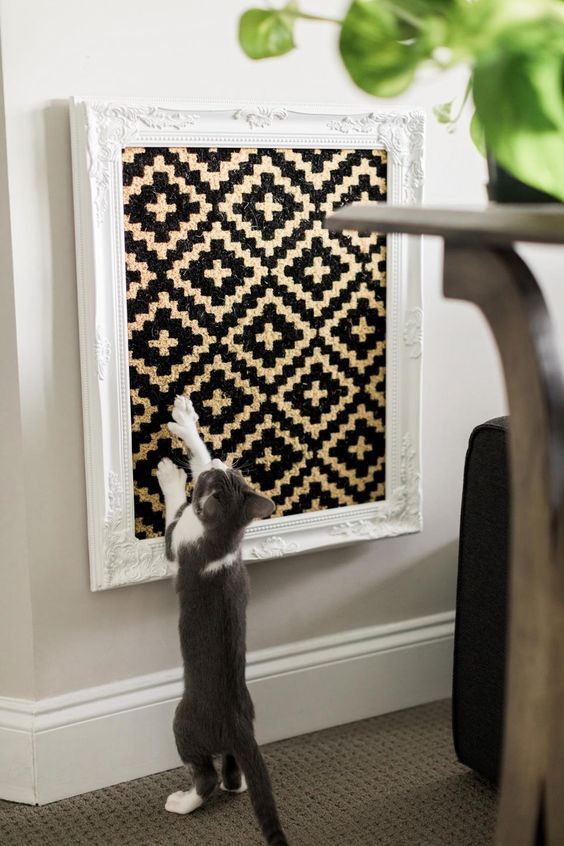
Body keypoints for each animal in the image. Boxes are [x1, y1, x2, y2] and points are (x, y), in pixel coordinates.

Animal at [158, 398, 290, 846]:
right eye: (229, 473)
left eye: (211, 481)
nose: (221, 459)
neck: (225, 537)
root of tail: (238, 724)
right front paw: (191, 428)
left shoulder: (180, 539)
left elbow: (173, 517)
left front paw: (171, 472)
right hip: (237, 734)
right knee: (232, 771)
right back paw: (241, 784)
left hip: (185, 723)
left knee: (207, 777)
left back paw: (182, 802)